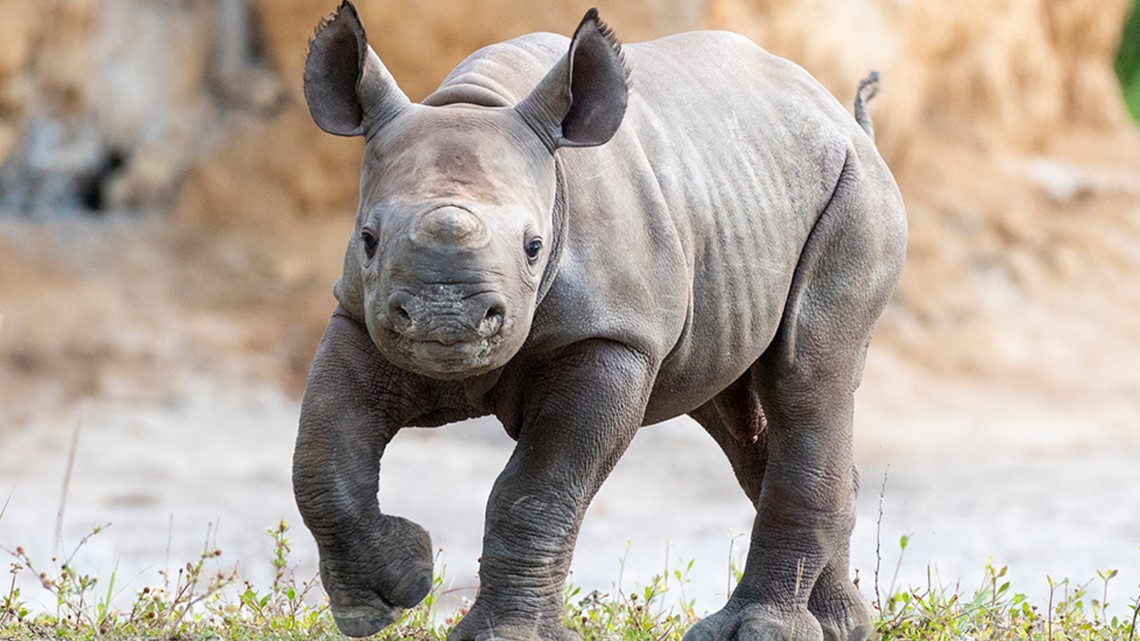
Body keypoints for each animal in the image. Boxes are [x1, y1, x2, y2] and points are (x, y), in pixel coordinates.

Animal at [294, 1, 907, 638]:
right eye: (368, 239)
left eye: (534, 248)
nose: (447, 319)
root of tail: (840, 116)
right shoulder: (357, 314)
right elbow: (322, 459)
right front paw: (385, 598)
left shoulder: (613, 337)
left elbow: (535, 493)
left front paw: (502, 633)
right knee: (743, 416)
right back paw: (838, 626)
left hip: (855, 194)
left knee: (804, 378)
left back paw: (760, 629)